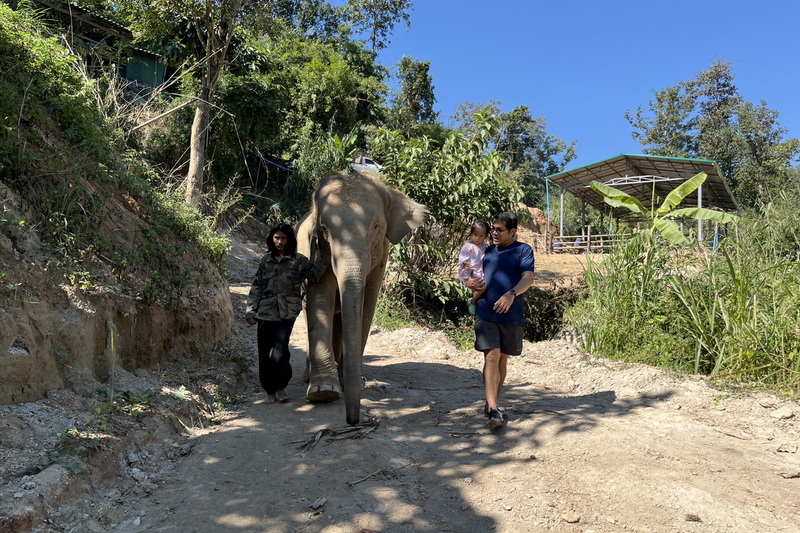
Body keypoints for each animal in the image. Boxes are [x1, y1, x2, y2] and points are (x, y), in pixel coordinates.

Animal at [296, 170, 428, 424]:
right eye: (324, 229)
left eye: (375, 226)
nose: (352, 421)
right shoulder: (315, 250)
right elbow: (321, 299)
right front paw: (324, 393)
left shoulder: (381, 258)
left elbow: (367, 307)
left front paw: (354, 385)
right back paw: (310, 378)